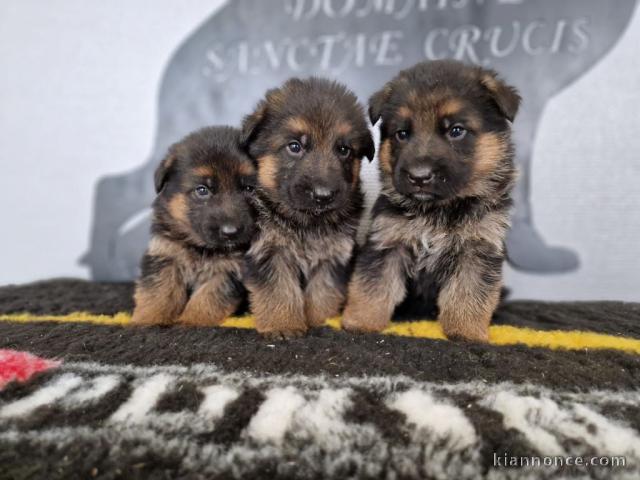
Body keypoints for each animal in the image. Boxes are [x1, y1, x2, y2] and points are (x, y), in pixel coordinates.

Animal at [130, 126, 258, 326]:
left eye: (249, 189)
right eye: (202, 190)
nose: (230, 232)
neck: (200, 247)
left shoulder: (230, 271)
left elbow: (208, 298)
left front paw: (189, 321)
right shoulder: (164, 255)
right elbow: (158, 292)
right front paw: (148, 319)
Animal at [242, 77, 378, 340]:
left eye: (344, 150)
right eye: (295, 146)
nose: (323, 196)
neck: (306, 223)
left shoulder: (334, 254)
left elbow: (322, 291)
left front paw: (318, 320)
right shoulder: (269, 250)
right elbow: (279, 289)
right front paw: (283, 324)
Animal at [342, 60, 516, 342]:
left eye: (456, 131)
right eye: (402, 134)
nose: (419, 177)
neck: (438, 210)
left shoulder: (477, 249)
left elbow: (469, 293)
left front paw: (466, 331)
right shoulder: (387, 242)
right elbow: (372, 286)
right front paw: (361, 322)